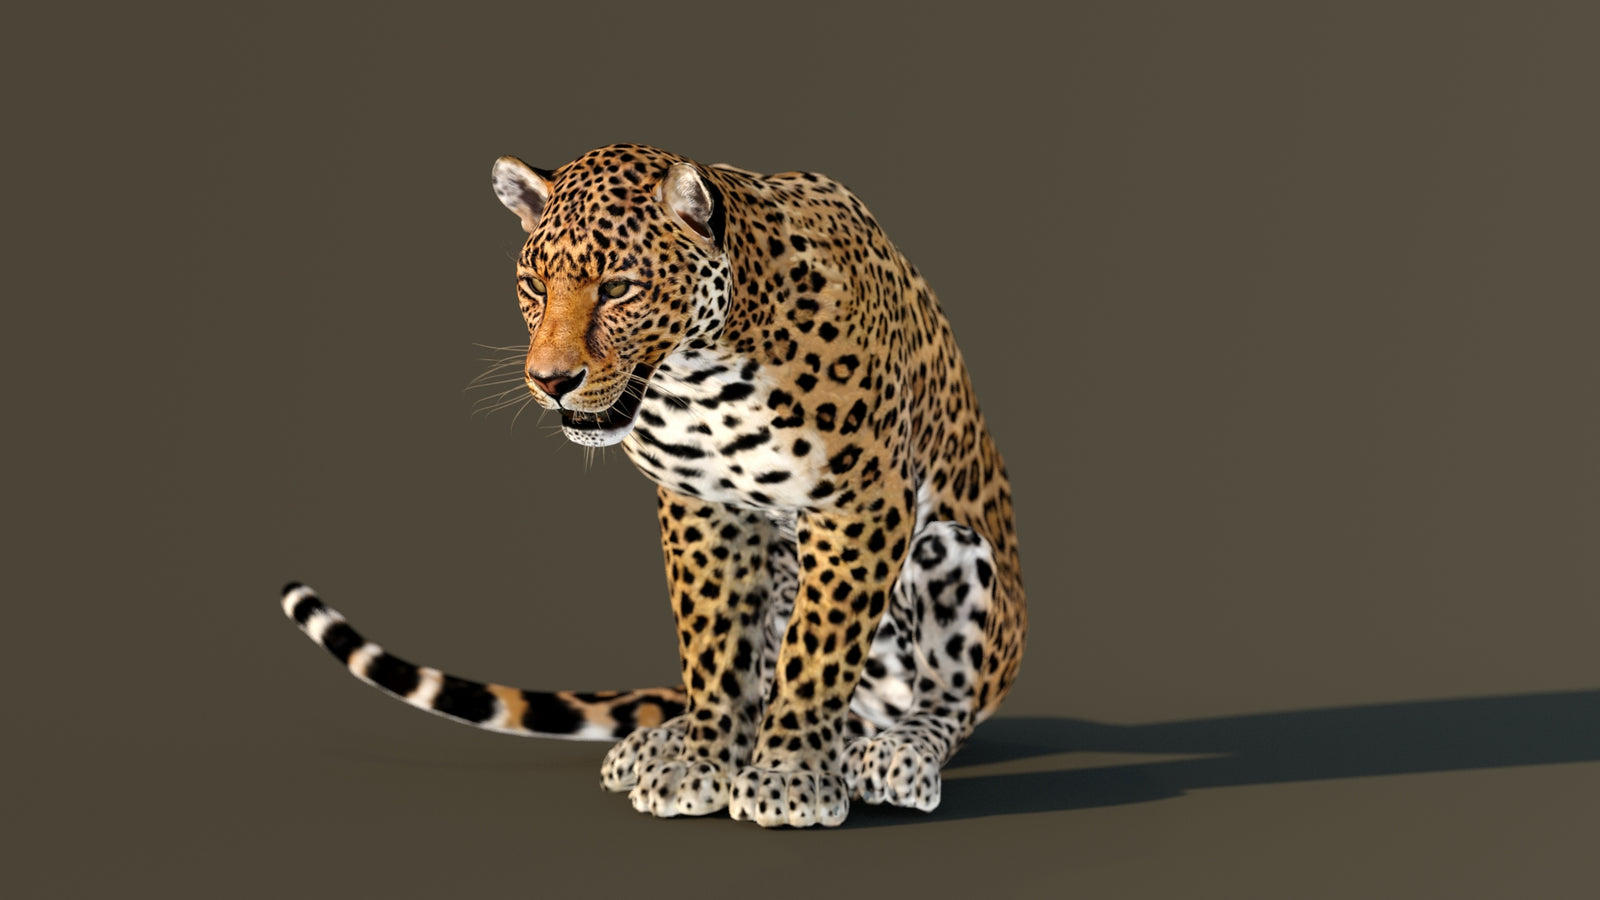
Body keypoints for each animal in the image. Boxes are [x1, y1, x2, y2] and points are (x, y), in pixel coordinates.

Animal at [282, 143, 1025, 828]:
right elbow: (714, 645)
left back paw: (897, 752)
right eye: (534, 284)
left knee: (947, 700)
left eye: (619, 288)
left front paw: (787, 776)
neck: (707, 376)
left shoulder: (861, 503)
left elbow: (817, 650)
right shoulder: (704, 506)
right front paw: (701, 762)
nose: (550, 381)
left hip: (956, 554)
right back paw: (663, 741)